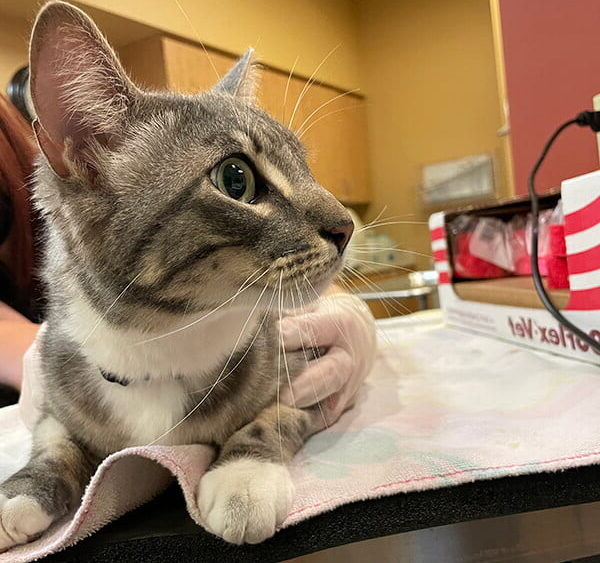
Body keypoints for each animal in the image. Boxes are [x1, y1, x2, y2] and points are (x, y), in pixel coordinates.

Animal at [0, 0, 354, 549]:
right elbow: (52, 443)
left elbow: (272, 418)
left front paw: (243, 480)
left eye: (306, 166)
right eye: (235, 178)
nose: (348, 225)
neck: (160, 345)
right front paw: (22, 490)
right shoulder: (56, 395)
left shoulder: (312, 370)